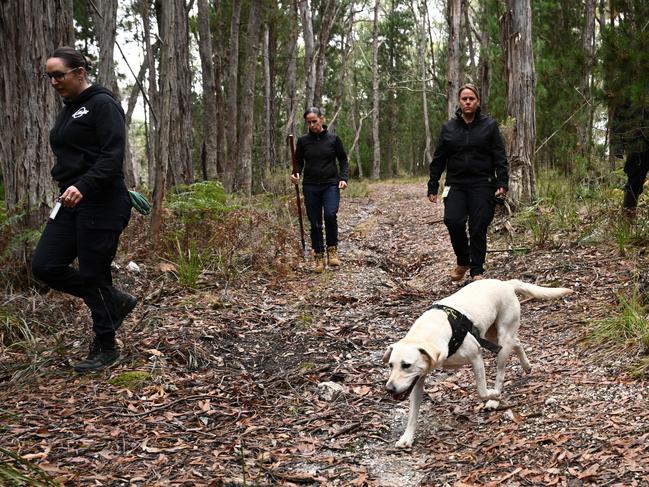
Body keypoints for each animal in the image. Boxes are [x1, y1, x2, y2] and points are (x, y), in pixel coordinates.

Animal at [382, 280, 568, 448]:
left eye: (406, 365)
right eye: (391, 365)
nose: (389, 389)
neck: (428, 333)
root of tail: (506, 283)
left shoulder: (476, 357)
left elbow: (482, 391)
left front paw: (493, 395)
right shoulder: (417, 380)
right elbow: (413, 413)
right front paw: (407, 437)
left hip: (502, 339)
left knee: (501, 372)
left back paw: (495, 399)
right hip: (494, 337)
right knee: (518, 343)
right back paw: (527, 366)